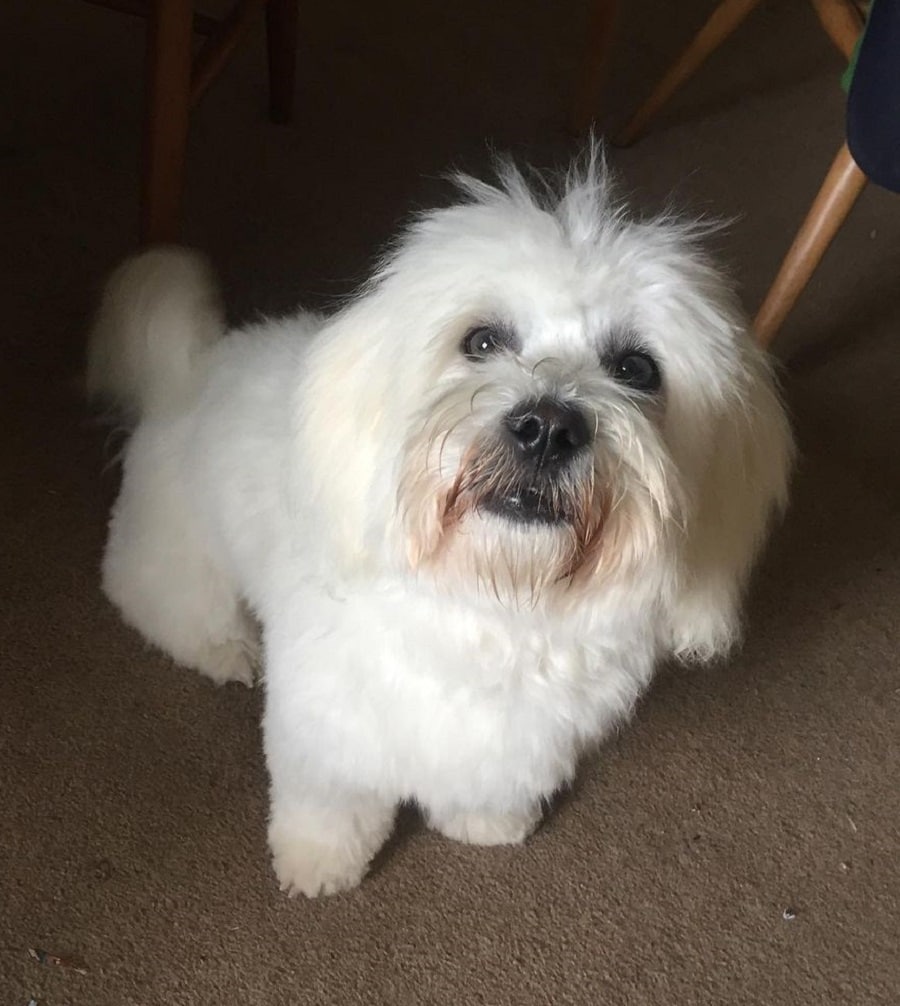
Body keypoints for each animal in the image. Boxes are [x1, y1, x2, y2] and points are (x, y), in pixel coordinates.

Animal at [89, 154, 796, 897]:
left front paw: (486, 822)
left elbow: (486, 781)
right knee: (161, 601)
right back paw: (224, 648)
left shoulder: (518, 740)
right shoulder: (329, 728)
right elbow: (331, 802)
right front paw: (318, 861)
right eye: (481, 341)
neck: (494, 601)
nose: (549, 427)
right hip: (177, 551)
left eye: (636, 368)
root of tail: (190, 368)